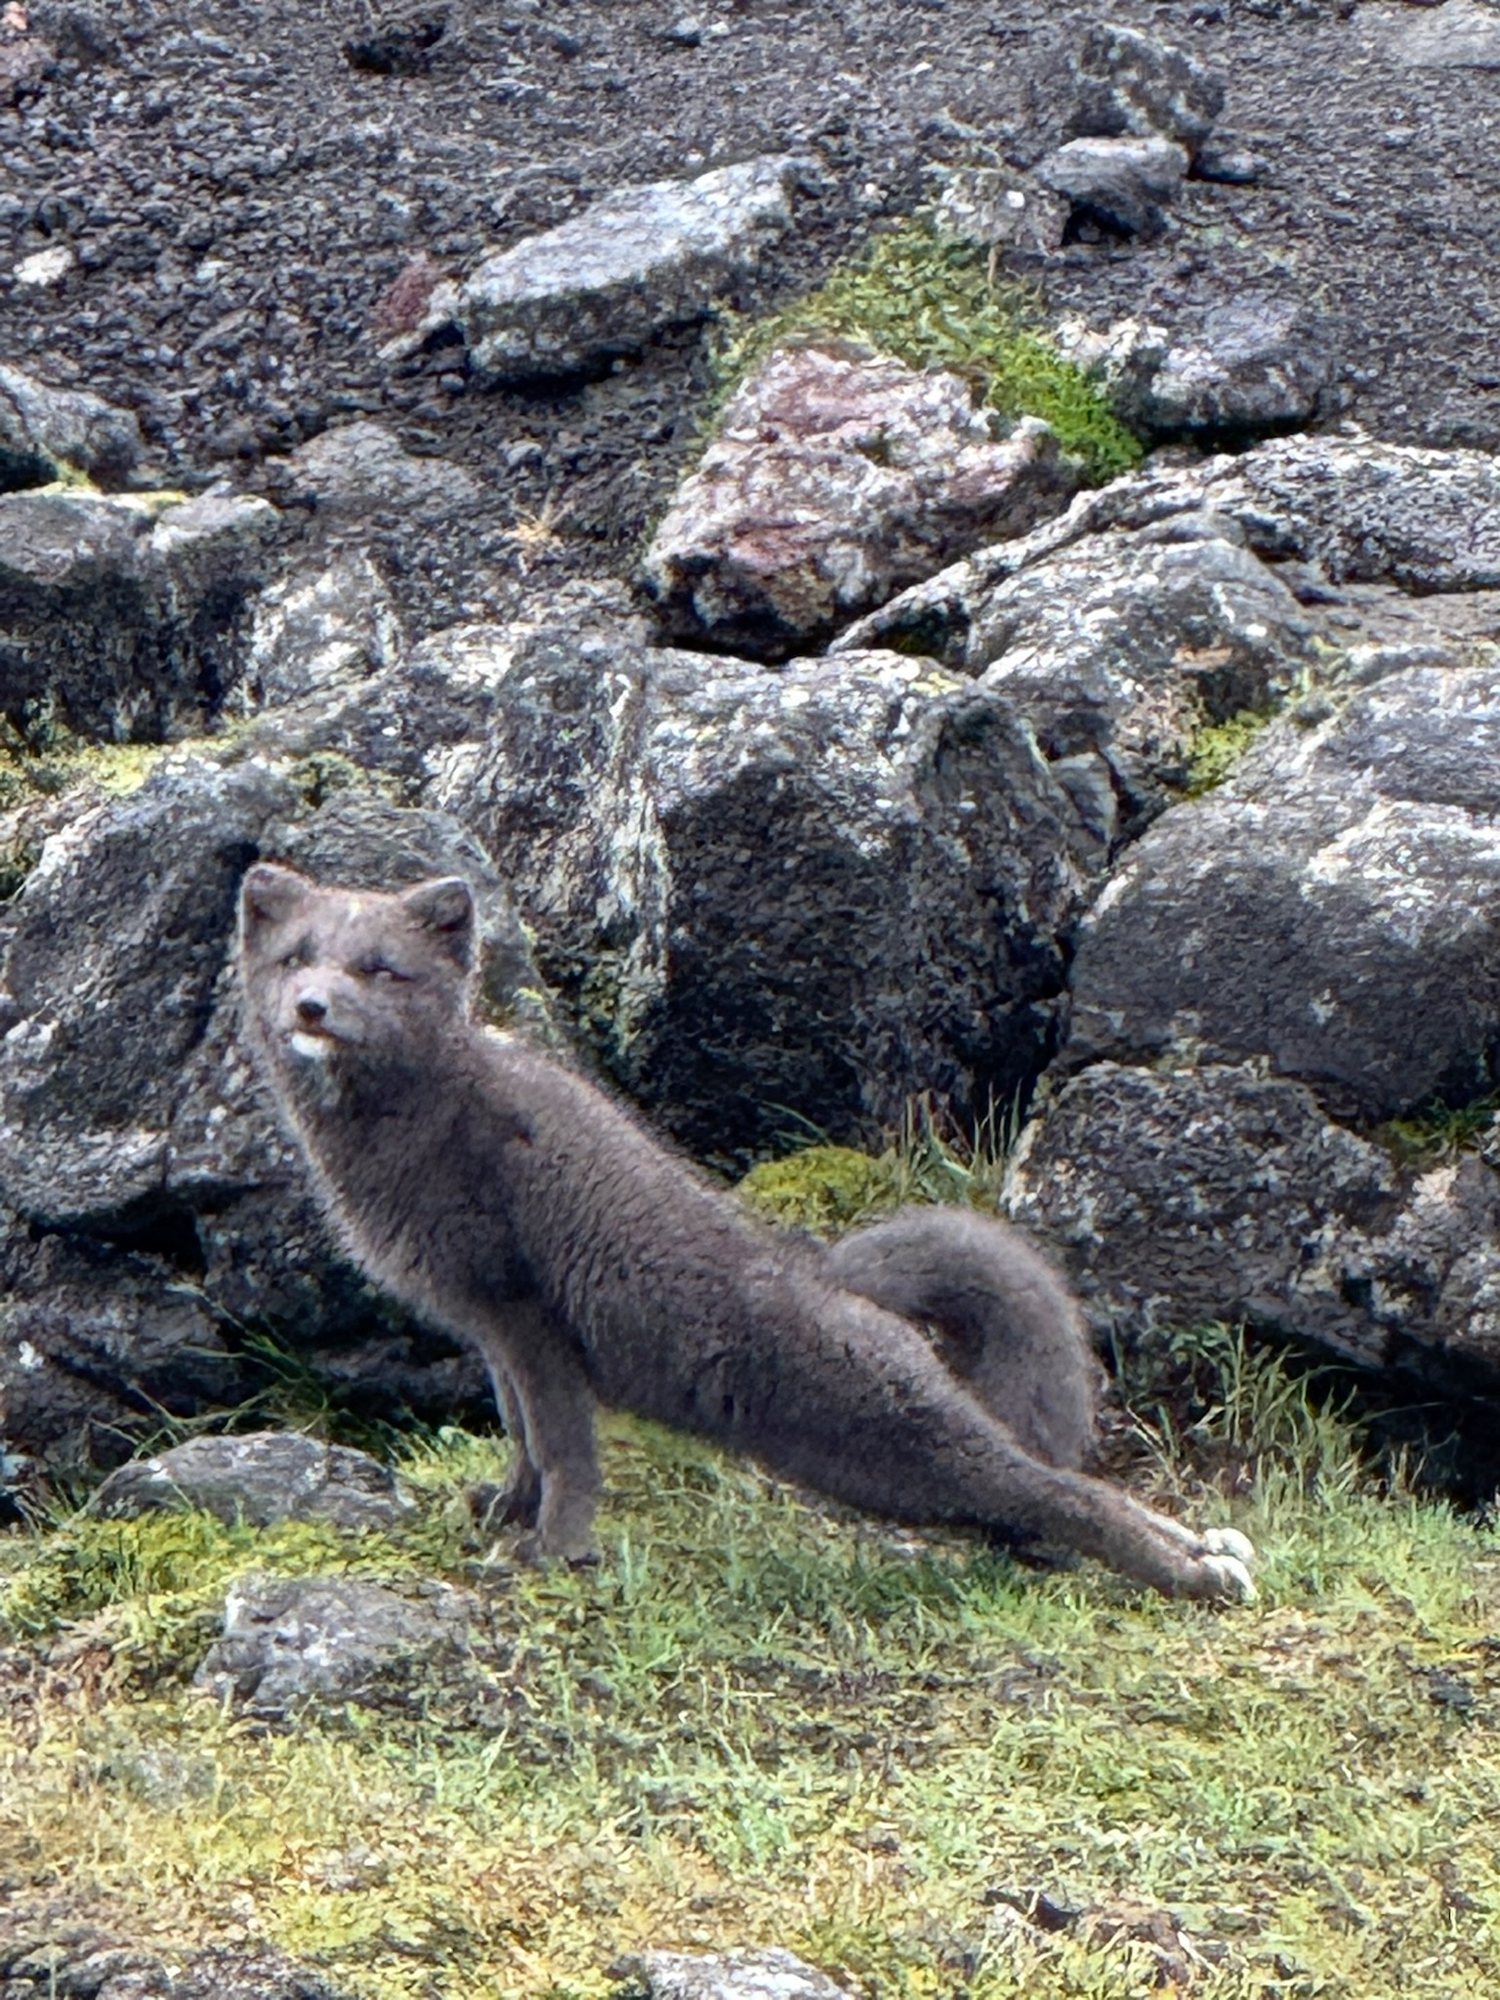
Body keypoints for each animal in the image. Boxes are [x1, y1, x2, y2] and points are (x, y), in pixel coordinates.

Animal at [237, 863, 1256, 1603]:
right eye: (295, 958)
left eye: (380, 969)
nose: (311, 1008)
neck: (424, 1126)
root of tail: (835, 1283)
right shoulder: (491, 1330)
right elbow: (522, 1435)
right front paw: (503, 1509)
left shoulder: (529, 1317)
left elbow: (565, 1449)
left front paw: (552, 1555)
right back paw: (1207, 1550)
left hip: (892, 1441)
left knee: (1065, 1491)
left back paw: (1200, 1576)